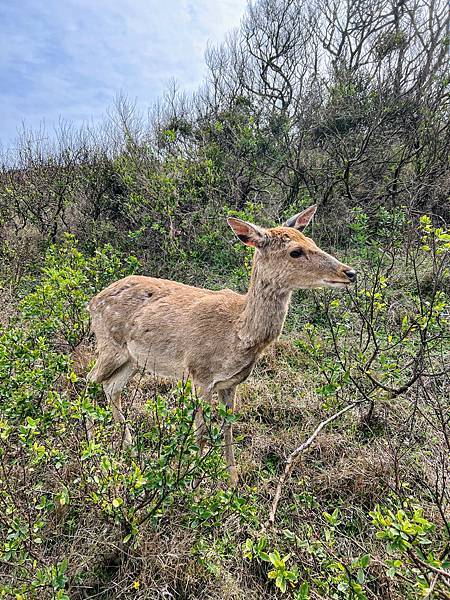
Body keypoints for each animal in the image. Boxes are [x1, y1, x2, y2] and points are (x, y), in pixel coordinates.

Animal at [87, 204, 356, 486]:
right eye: (295, 251)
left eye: (312, 241)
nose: (350, 272)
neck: (238, 334)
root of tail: (92, 302)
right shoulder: (199, 374)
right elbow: (201, 433)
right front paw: (193, 483)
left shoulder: (231, 383)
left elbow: (228, 428)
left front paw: (233, 481)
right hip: (109, 344)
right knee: (89, 380)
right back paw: (92, 450)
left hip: (133, 359)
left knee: (111, 388)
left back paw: (128, 447)